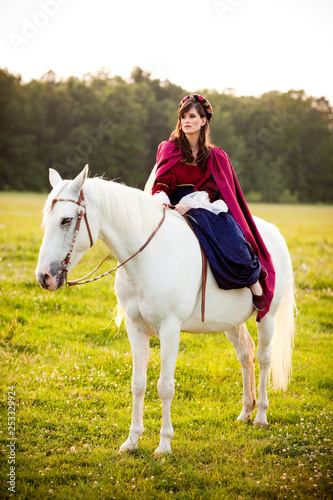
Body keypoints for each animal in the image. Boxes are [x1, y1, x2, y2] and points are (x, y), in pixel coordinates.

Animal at [36, 166, 294, 456]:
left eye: (67, 220)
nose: (44, 277)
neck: (145, 258)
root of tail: (273, 233)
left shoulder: (170, 330)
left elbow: (165, 387)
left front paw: (164, 444)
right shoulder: (135, 329)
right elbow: (138, 384)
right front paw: (132, 440)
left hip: (268, 317)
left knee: (263, 358)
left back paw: (260, 415)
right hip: (231, 322)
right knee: (246, 354)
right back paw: (245, 412)